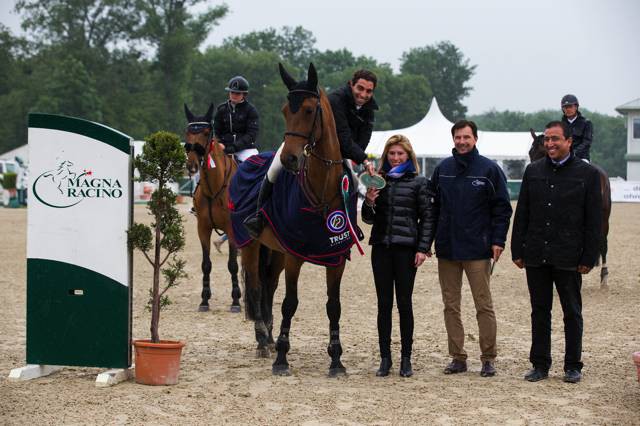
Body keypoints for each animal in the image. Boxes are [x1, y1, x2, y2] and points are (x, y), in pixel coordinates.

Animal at [186, 103, 244, 310]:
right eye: (188, 132)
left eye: (205, 132)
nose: (192, 165)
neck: (214, 187)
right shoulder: (203, 228)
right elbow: (206, 264)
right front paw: (204, 299)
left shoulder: (231, 228)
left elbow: (232, 264)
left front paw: (235, 300)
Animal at [236, 63, 356, 376]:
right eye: (284, 110)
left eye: (309, 110)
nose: (289, 159)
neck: (321, 191)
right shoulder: (294, 256)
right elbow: (290, 303)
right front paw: (281, 358)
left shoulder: (336, 256)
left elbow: (334, 305)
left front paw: (336, 360)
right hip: (250, 245)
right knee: (256, 288)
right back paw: (263, 341)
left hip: (276, 251)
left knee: (268, 286)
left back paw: (267, 335)